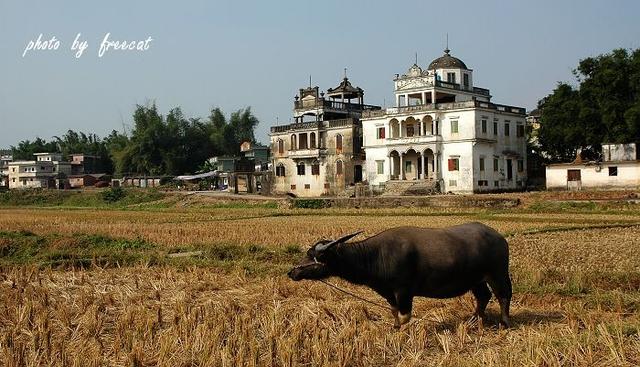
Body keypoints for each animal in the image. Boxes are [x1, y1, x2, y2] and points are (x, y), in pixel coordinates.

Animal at [288, 223, 512, 330]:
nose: (292, 272)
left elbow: (405, 315)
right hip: (476, 279)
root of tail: (499, 237)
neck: (376, 255)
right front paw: (395, 327)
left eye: (314, 256)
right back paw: (474, 320)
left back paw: (504, 323)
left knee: (503, 295)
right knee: (483, 296)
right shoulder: (388, 291)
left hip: (497, 273)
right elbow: (394, 311)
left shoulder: (404, 291)